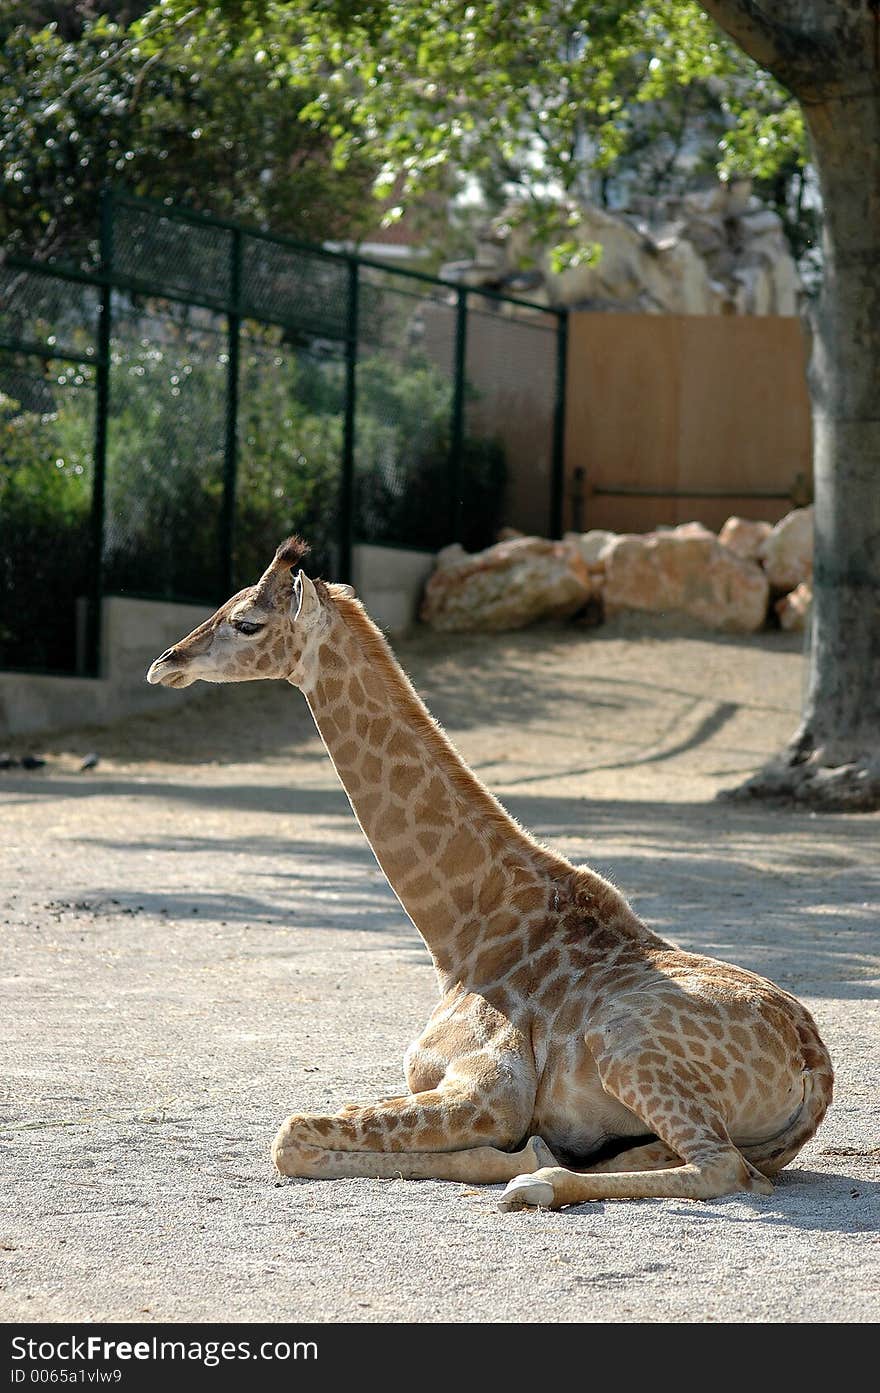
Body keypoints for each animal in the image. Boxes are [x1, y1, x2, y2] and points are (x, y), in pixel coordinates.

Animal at [144, 532, 829, 1209]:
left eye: (247, 622)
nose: (165, 663)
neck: (461, 932)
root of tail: (813, 1064)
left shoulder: (490, 1090)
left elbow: (292, 1135)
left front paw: (524, 1158)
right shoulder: (427, 1078)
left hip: (624, 1046)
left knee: (726, 1169)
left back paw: (539, 1182)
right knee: (705, 1158)